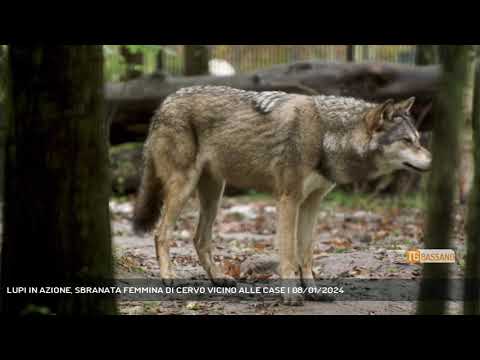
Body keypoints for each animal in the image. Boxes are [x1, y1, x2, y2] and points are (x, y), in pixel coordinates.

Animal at [132, 86, 432, 306]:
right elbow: (288, 253)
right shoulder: (289, 199)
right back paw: (168, 278)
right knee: (161, 233)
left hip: (214, 195)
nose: (432, 160)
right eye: (407, 141)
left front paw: (313, 291)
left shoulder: (312, 203)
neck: (325, 134)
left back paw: (219, 279)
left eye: (418, 139)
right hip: (183, 188)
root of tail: (164, 102)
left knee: (199, 239)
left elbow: (306, 252)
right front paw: (291, 295)